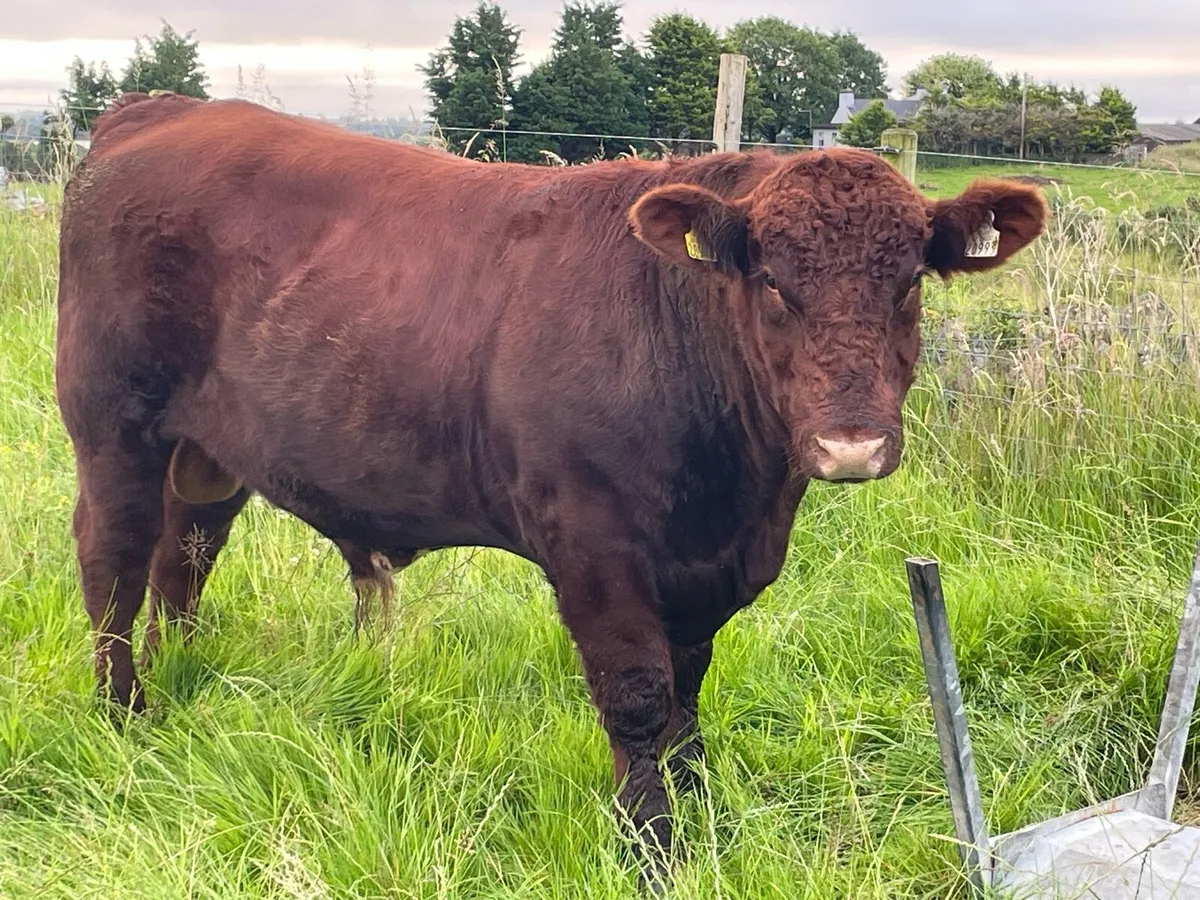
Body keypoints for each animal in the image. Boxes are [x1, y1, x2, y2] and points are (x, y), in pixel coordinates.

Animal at [55, 91, 1048, 887]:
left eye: (910, 281)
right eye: (770, 281)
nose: (852, 442)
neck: (738, 497)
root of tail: (159, 109)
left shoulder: (702, 569)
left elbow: (687, 695)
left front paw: (702, 821)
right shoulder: (595, 544)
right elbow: (640, 697)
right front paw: (653, 851)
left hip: (208, 447)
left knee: (184, 552)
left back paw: (183, 674)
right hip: (111, 423)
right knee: (114, 559)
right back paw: (125, 714)